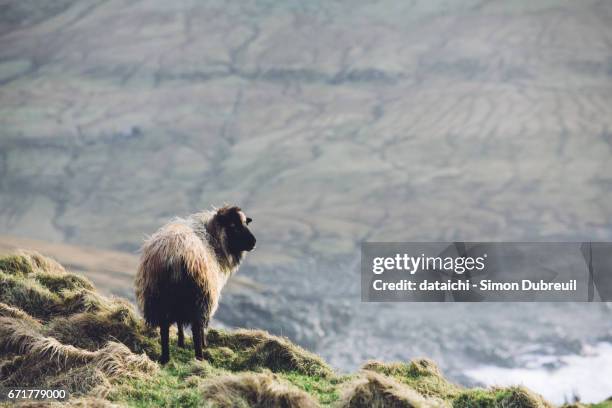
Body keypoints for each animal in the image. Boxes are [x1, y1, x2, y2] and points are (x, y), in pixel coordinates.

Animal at [134, 204, 256, 364]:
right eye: (233, 225)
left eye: (245, 222)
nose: (253, 242)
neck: (213, 239)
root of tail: (174, 255)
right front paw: (203, 344)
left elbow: (179, 323)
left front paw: (180, 343)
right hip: (198, 296)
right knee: (196, 328)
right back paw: (200, 357)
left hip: (159, 297)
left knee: (164, 328)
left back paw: (165, 358)